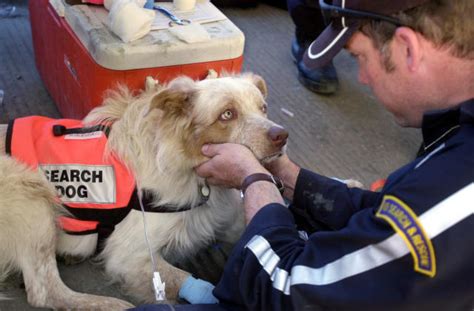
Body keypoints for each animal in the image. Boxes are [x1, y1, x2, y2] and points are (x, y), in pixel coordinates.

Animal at [0, 74, 288, 310]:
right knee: (45, 291)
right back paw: (110, 305)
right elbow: (182, 279)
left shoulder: (231, 221)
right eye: (227, 114)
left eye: (263, 108)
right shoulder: (130, 254)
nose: (281, 136)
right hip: (31, 195)